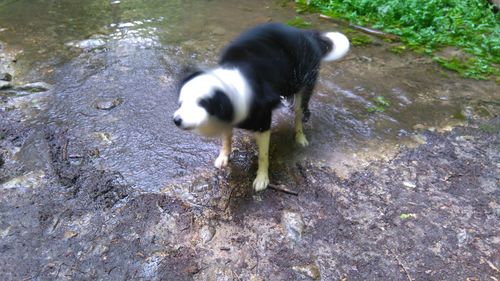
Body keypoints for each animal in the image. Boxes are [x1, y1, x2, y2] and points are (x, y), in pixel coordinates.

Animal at [174, 23, 350, 191]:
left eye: (201, 103)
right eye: (181, 102)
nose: (176, 120)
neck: (237, 82)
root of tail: (308, 35)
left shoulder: (263, 122)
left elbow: (263, 156)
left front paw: (262, 178)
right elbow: (226, 138)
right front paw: (224, 156)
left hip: (304, 84)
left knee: (299, 114)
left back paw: (300, 137)